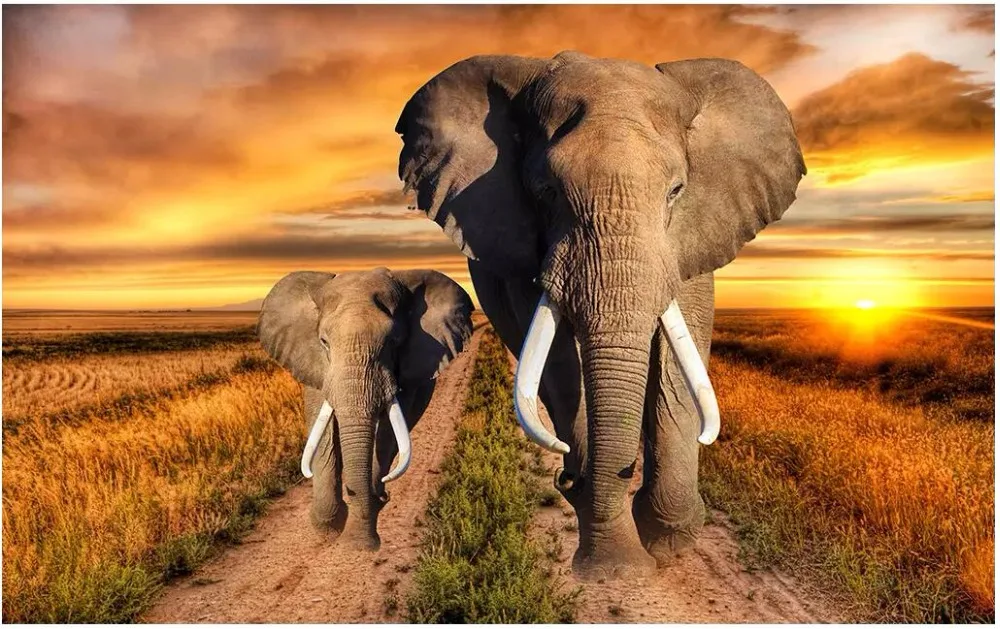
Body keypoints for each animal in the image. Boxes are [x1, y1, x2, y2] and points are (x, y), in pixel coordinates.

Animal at [257, 267, 474, 550]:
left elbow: (386, 435)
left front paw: (360, 541)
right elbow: (323, 430)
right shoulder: (315, 365)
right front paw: (330, 528)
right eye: (324, 341)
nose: (353, 491)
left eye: (394, 342)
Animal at [394, 51, 805, 578]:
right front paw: (613, 560)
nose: (576, 481)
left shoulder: (692, 235)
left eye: (676, 191)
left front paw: (665, 541)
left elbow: (678, 358)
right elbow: (561, 368)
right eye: (546, 192)